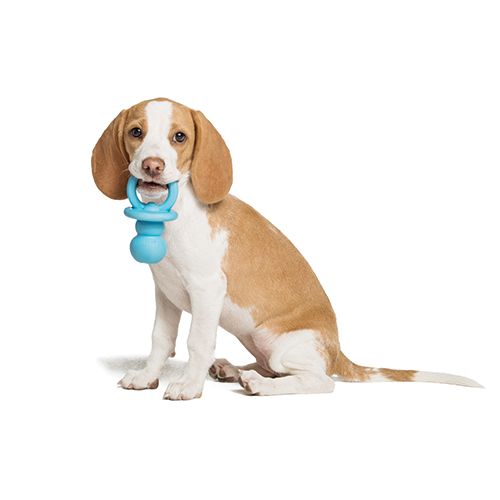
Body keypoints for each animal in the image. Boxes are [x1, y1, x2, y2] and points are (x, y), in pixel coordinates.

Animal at [92, 97, 481, 399]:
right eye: (136, 132)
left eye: (179, 137)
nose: (152, 166)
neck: (173, 219)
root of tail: (337, 352)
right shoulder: (166, 293)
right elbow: (161, 339)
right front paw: (147, 377)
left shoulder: (206, 290)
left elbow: (197, 342)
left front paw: (189, 385)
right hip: (255, 338)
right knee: (271, 367)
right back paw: (234, 370)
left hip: (279, 342)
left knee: (318, 381)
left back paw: (259, 385)